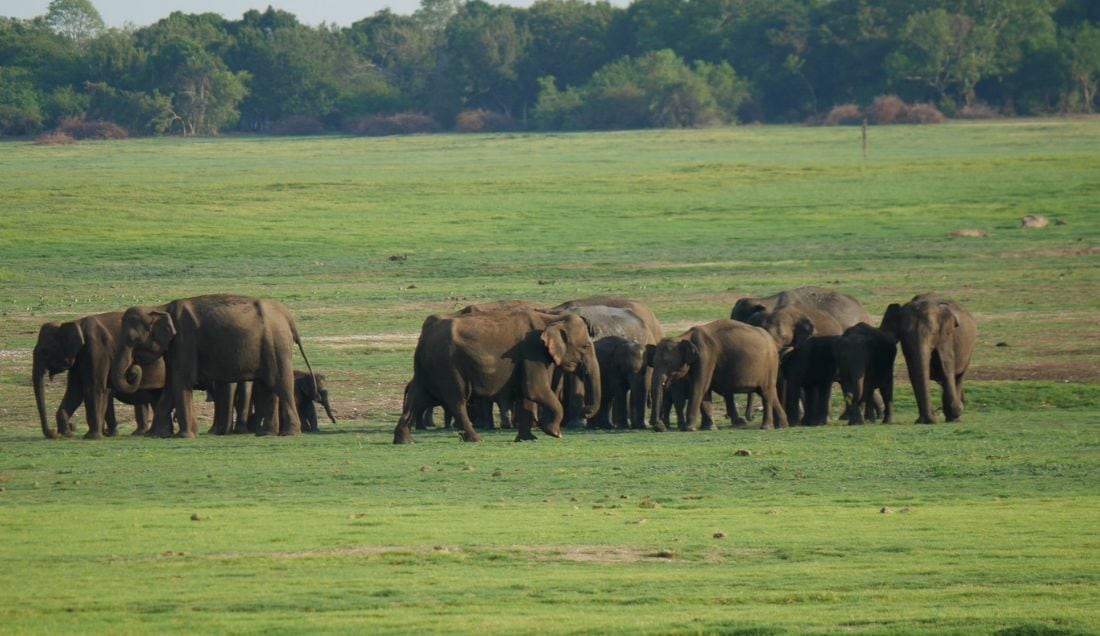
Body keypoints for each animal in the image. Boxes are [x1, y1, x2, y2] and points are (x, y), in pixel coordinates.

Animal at [33, 311, 165, 439]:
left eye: (46, 351)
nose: (54, 433)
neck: (77, 323)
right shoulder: (80, 360)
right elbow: (74, 391)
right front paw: (67, 434)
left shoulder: (98, 351)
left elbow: (94, 389)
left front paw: (93, 436)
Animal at [111, 294, 316, 437]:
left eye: (132, 339)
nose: (133, 369)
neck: (160, 308)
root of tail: (287, 316)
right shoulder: (174, 347)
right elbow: (171, 384)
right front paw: (158, 435)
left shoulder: (185, 341)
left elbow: (180, 381)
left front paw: (184, 436)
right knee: (268, 387)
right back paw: (266, 434)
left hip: (276, 344)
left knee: (280, 383)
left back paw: (288, 433)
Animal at [395, 309, 601, 444]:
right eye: (585, 346)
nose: (586, 410)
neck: (552, 318)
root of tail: (425, 334)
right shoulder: (532, 351)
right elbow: (535, 390)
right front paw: (553, 432)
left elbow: (527, 395)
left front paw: (528, 439)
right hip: (447, 365)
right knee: (456, 400)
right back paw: (475, 439)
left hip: (428, 367)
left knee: (418, 398)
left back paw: (404, 440)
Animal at [647, 319, 787, 431]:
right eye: (653, 362)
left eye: (666, 362)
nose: (658, 426)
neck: (684, 337)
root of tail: (772, 342)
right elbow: (705, 389)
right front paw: (708, 428)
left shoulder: (706, 356)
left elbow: (700, 386)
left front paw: (689, 429)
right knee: (769, 392)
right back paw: (782, 425)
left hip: (770, 364)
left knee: (766, 393)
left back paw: (766, 427)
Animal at [881, 294, 977, 424]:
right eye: (903, 334)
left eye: (934, 332)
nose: (927, 420)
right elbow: (914, 372)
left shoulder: (946, 337)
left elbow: (946, 368)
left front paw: (955, 412)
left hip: (969, 350)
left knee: (959, 376)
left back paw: (955, 417)